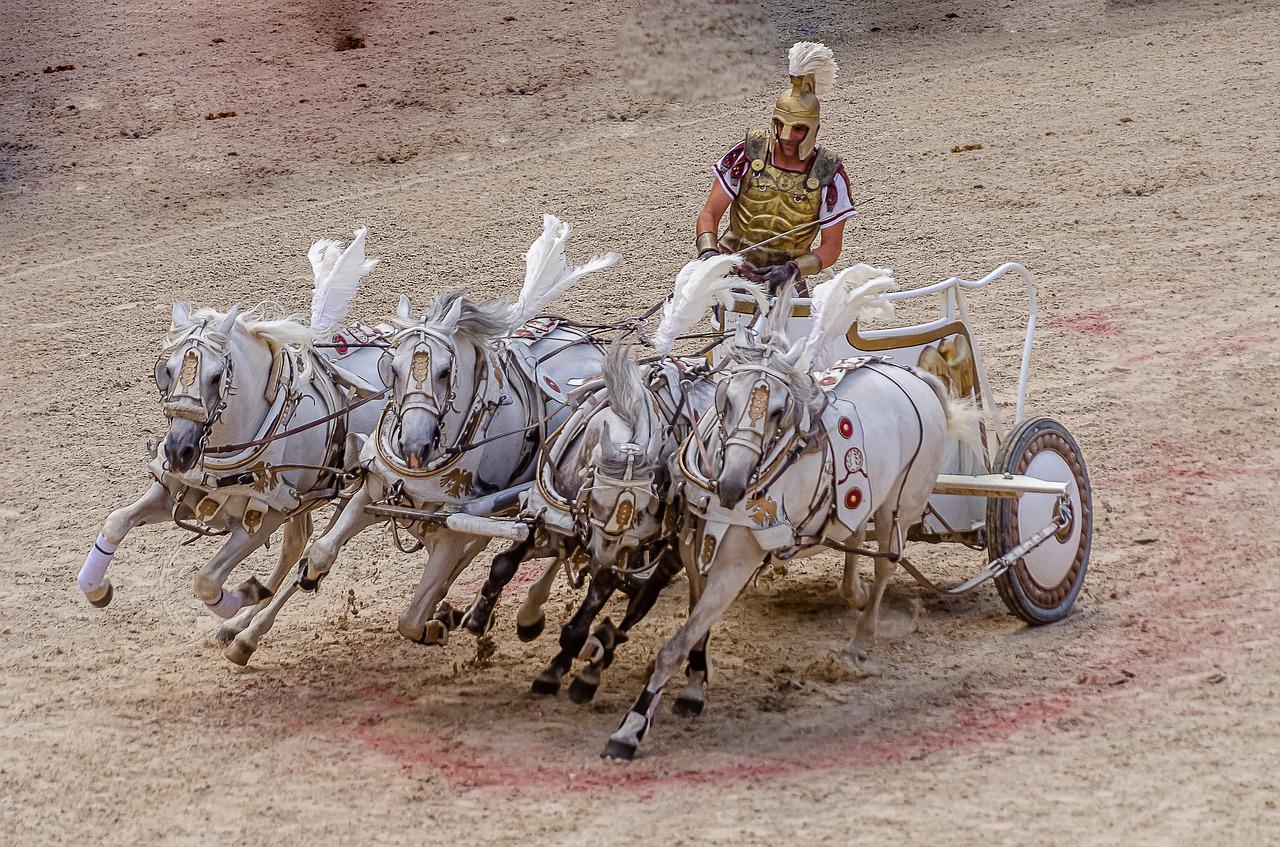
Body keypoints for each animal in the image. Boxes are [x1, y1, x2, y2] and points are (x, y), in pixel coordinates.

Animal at [79, 230, 384, 644]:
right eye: (166, 370)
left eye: (215, 376)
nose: (178, 450)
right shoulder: (177, 491)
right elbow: (115, 521)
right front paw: (97, 588)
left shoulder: (266, 515)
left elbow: (207, 580)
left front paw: (247, 592)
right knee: (299, 547)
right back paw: (242, 628)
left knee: (315, 554)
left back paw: (249, 629)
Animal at [227, 216, 622, 665]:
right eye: (392, 368)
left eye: (446, 371)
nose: (414, 447)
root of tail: (590, 346)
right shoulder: (366, 491)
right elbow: (318, 555)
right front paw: (246, 629)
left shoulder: (452, 518)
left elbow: (412, 616)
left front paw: (437, 622)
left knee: (554, 540)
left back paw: (525, 615)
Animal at [604, 263, 972, 762]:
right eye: (725, 398)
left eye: (779, 411)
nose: (732, 486)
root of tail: (915, 378)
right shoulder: (694, 550)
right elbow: (696, 629)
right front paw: (694, 688)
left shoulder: (735, 565)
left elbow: (675, 645)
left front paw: (629, 729)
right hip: (864, 495)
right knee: (854, 537)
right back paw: (853, 593)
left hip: (902, 502)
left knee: (886, 565)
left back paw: (861, 641)